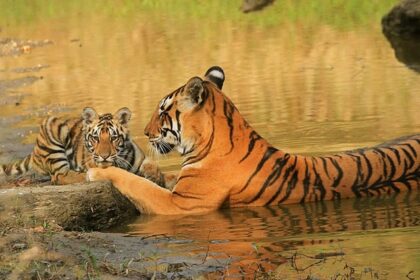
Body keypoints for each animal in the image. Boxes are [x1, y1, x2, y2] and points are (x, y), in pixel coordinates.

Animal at [0, 107, 172, 188]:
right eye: (95, 138)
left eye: (113, 138)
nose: (104, 156)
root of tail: (34, 151)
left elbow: (152, 165)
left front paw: (155, 176)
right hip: (52, 126)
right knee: (59, 176)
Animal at [87, 67, 418, 214]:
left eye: (163, 111)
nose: (145, 131)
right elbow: (159, 178)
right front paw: (150, 170)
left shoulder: (183, 204)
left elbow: (137, 185)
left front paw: (98, 171)